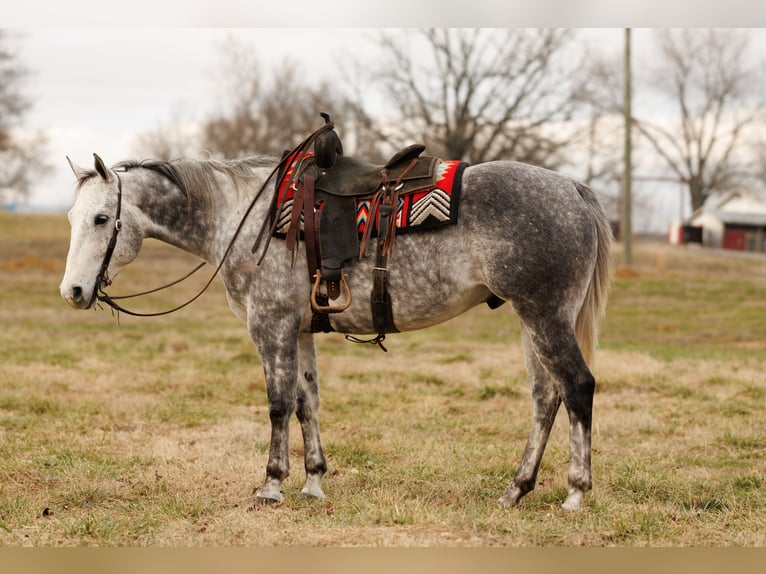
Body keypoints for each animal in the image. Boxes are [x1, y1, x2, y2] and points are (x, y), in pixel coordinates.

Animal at [59, 151, 612, 511]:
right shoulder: (300, 330)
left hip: (544, 315)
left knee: (577, 387)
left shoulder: (270, 326)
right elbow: (307, 401)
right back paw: (517, 488)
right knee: (545, 397)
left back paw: (575, 492)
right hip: (531, 319)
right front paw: (313, 482)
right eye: (71, 217)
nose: (73, 291)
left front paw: (272, 484)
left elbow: (278, 404)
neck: (244, 220)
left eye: (102, 218)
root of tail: (573, 189)